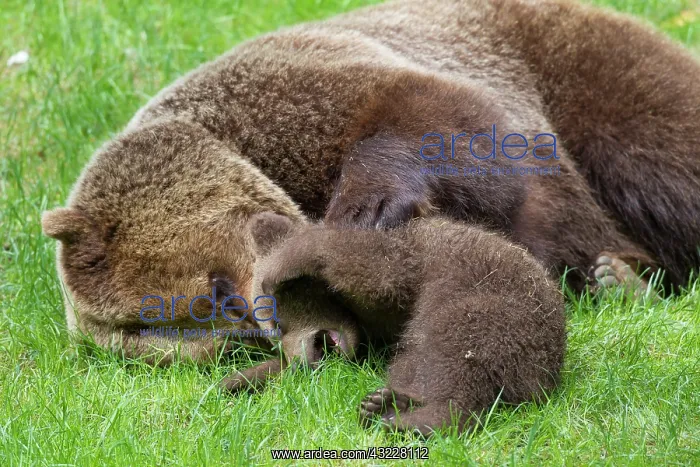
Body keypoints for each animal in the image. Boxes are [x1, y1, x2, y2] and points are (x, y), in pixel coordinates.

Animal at [42, 0, 700, 361]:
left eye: (221, 294)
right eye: (230, 341)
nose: (315, 347)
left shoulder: (295, 97)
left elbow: (447, 117)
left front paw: (367, 207)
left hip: (587, 68)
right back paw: (621, 276)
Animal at [222, 212, 566, 435]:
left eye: (279, 323)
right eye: (275, 335)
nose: (305, 360)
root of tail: (541, 381)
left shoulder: (404, 269)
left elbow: (373, 268)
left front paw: (282, 265)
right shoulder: (372, 337)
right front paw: (239, 378)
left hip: (496, 312)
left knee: (447, 351)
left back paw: (408, 417)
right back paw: (386, 406)